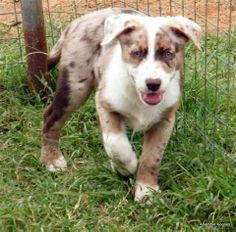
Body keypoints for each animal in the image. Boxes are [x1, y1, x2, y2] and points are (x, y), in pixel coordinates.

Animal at [41, 6, 201, 199]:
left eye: (168, 53)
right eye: (136, 53)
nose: (153, 83)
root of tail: (80, 19)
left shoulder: (165, 119)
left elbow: (152, 157)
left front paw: (146, 189)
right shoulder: (105, 105)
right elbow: (116, 144)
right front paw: (128, 166)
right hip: (75, 86)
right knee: (51, 117)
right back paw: (52, 160)